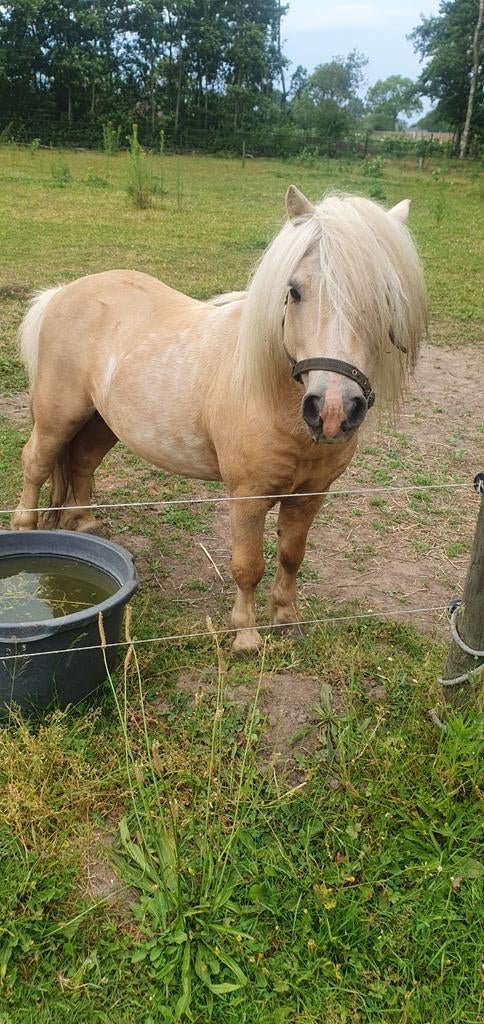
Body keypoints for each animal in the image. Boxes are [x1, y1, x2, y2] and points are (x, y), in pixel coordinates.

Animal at [11, 186, 426, 654]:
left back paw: (85, 525)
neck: (271, 396)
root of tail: (62, 292)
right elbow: (248, 566)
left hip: (102, 422)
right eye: (294, 291)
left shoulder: (310, 496)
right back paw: (24, 527)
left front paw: (286, 620)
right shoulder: (247, 497)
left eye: (385, 299)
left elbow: (291, 557)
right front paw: (245, 636)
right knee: (36, 463)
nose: (333, 410)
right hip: (58, 416)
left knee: (80, 464)